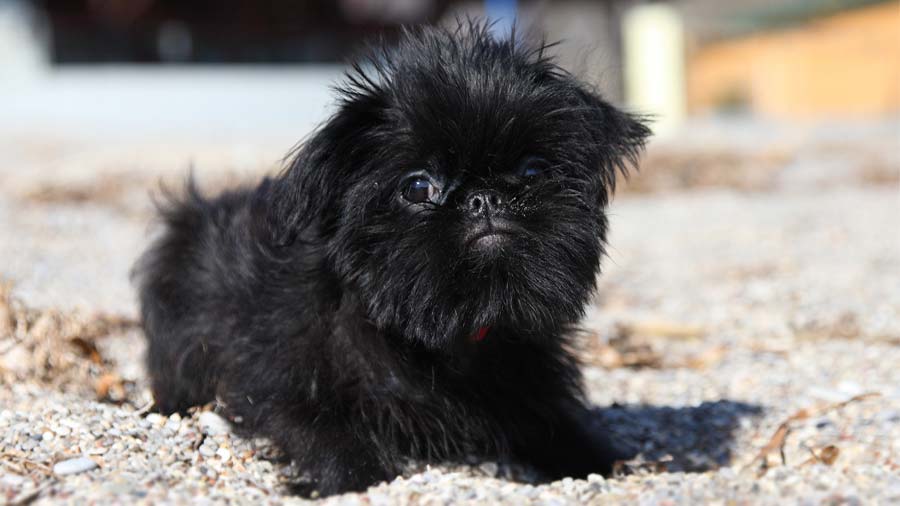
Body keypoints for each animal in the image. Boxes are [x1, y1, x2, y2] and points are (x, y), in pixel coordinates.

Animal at [135, 21, 648, 496]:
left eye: (533, 171)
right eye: (418, 187)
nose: (484, 198)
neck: (446, 330)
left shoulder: (533, 382)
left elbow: (560, 425)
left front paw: (610, 461)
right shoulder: (275, 378)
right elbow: (321, 428)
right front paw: (353, 476)